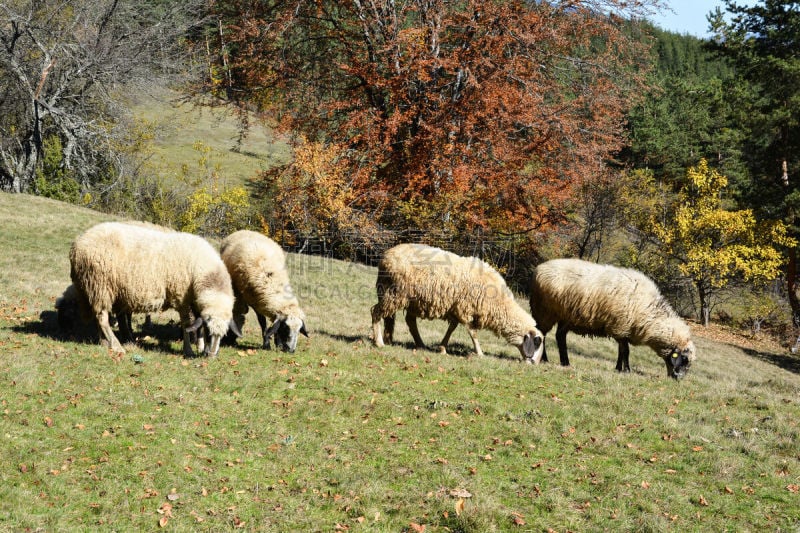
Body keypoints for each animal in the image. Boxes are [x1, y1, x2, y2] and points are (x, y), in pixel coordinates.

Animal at [69, 220, 239, 358]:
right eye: (210, 333)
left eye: (223, 335)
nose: (212, 356)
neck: (203, 271)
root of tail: (77, 244)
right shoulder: (181, 297)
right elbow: (187, 325)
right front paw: (189, 350)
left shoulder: (194, 301)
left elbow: (197, 325)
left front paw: (200, 347)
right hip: (100, 284)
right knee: (102, 318)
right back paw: (117, 346)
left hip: (93, 288)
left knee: (98, 316)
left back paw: (105, 342)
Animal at [370, 242, 544, 362]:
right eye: (536, 343)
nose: (533, 363)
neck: (499, 303)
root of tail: (386, 256)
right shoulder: (465, 308)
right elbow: (472, 332)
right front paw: (480, 353)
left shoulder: (456, 308)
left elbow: (452, 328)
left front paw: (442, 348)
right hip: (394, 293)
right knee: (376, 312)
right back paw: (379, 342)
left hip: (409, 298)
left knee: (408, 321)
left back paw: (418, 344)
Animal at [528, 258, 696, 378]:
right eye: (684, 359)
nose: (678, 378)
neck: (650, 315)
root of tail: (539, 268)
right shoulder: (621, 326)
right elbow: (626, 351)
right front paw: (627, 370)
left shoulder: (623, 330)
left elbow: (621, 351)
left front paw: (618, 368)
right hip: (544, 311)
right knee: (541, 334)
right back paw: (544, 359)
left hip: (566, 316)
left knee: (560, 336)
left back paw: (565, 363)